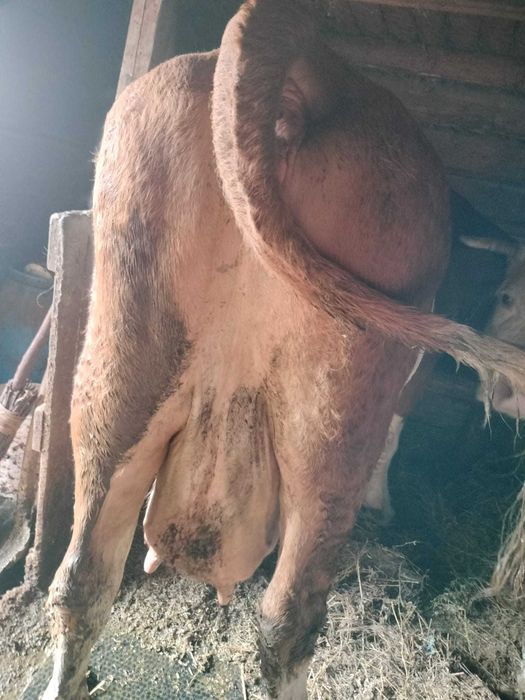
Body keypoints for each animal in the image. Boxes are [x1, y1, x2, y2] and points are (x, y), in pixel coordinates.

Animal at [42, 1, 525, 698]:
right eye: (509, 294)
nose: (510, 396)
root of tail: (310, 69)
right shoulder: (416, 371)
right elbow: (399, 431)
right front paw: (385, 506)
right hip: (338, 403)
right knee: (289, 617)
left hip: (120, 360)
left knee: (82, 578)